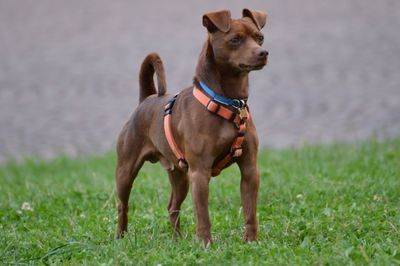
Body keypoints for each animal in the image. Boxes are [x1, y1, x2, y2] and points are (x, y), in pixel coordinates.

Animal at [115, 8, 268, 245]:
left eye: (260, 38)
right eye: (235, 40)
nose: (263, 53)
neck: (227, 103)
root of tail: (146, 100)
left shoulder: (250, 170)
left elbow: (250, 211)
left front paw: (251, 241)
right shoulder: (200, 173)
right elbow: (203, 215)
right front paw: (205, 243)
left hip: (180, 177)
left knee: (172, 207)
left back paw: (177, 240)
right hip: (126, 172)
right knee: (123, 205)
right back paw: (120, 237)